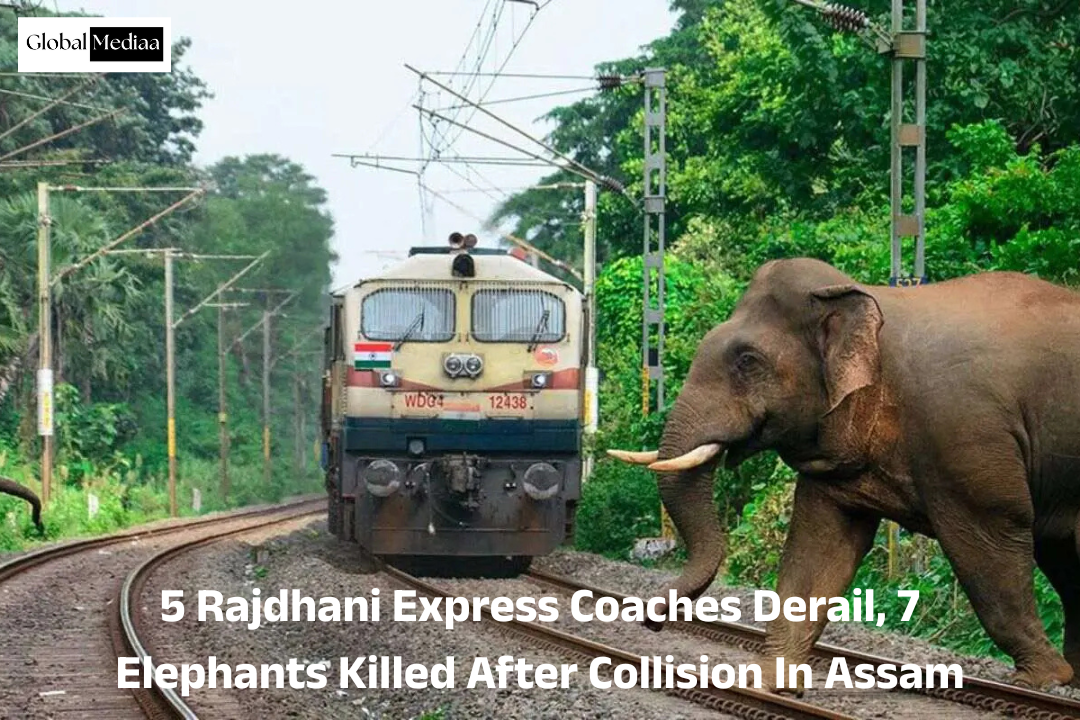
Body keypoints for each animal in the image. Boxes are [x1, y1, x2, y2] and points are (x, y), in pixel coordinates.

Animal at [610, 257, 1080, 691]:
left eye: (747, 361)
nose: (651, 619)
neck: (869, 302)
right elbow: (819, 545)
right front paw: (773, 683)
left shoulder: (963, 433)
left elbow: (988, 543)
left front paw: (1042, 679)